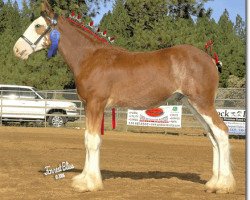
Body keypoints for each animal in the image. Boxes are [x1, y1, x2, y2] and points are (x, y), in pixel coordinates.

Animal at [12, 1, 235, 194]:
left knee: (221, 132)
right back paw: (212, 182)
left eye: (38, 25)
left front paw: (89, 184)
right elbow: (88, 138)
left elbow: (92, 140)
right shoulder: (91, 106)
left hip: (202, 103)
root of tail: (209, 59)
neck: (90, 58)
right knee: (212, 136)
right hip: (192, 104)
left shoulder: (95, 104)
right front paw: (85, 178)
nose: (17, 49)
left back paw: (223, 185)